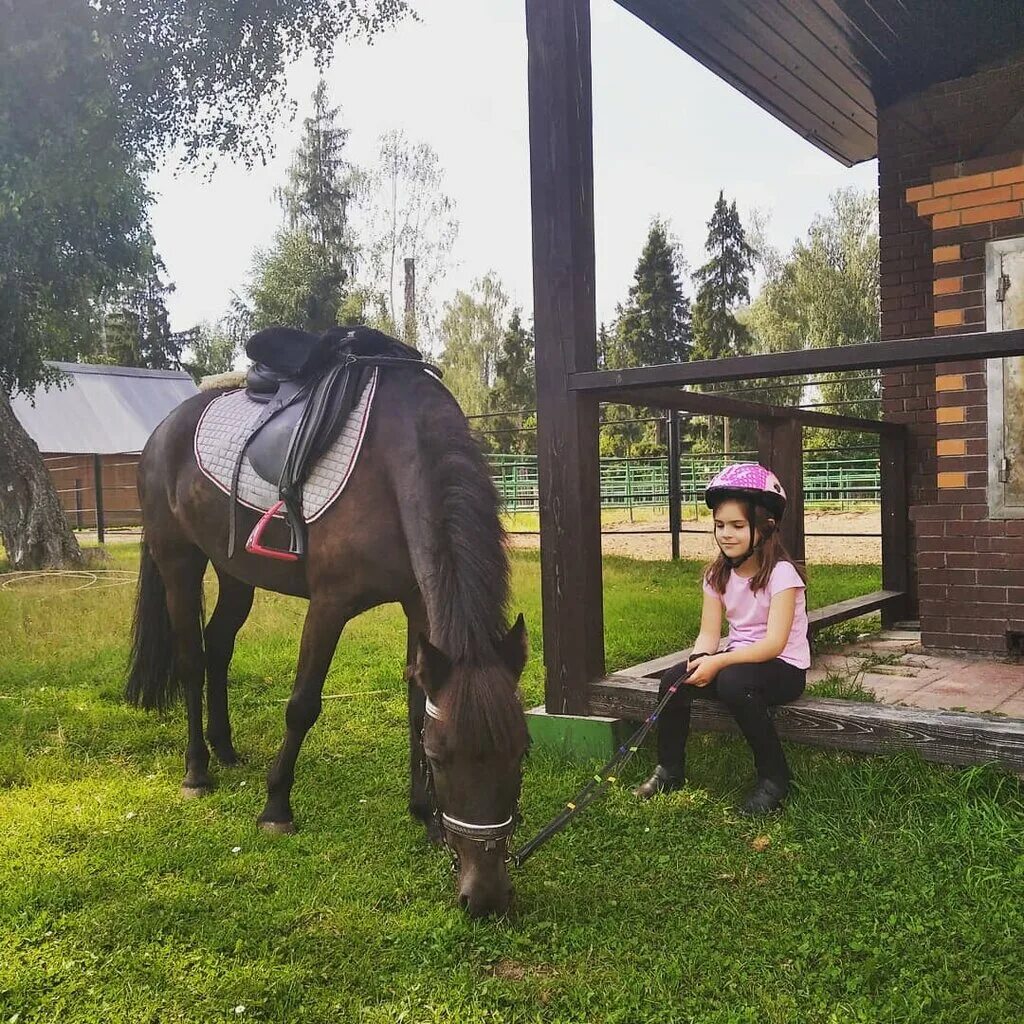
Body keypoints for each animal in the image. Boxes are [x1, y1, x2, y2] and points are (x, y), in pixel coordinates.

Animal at [121, 339, 528, 917]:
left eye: (522, 753)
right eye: (441, 758)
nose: (486, 896)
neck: (394, 460)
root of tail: (162, 432)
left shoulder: (418, 605)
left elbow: (415, 707)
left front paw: (424, 816)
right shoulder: (330, 605)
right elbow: (302, 705)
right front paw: (275, 807)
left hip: (236, 571)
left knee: (218, 647)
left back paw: (226, 748)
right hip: (178, 560)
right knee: (191, 661)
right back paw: (198, 770)